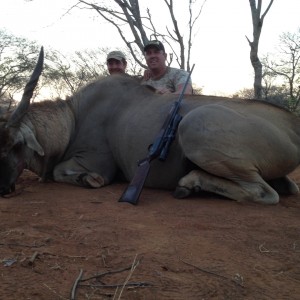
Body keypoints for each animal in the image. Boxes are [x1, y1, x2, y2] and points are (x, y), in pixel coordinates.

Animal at [0, 49, 300, 204]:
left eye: (16, 145)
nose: (2, 189)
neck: (73, 118)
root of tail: (291, 126)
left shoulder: (96, 163)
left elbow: (68, 172)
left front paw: (88, 180)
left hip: (193, 126)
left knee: (265, 193)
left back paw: (189, 183)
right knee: (286, 188)